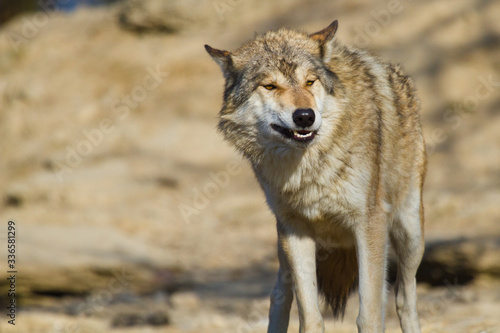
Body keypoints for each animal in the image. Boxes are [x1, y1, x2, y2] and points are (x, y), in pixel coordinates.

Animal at [205, 19, 428, 330]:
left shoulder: (369, 223)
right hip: (283, 247)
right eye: (270, 86)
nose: (304, 116)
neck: (309, 169)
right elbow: (309, 316)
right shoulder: (295, 231)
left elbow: (369, 315)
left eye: (310, 82)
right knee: (278, 297)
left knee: (404, 299)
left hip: (409, 234)